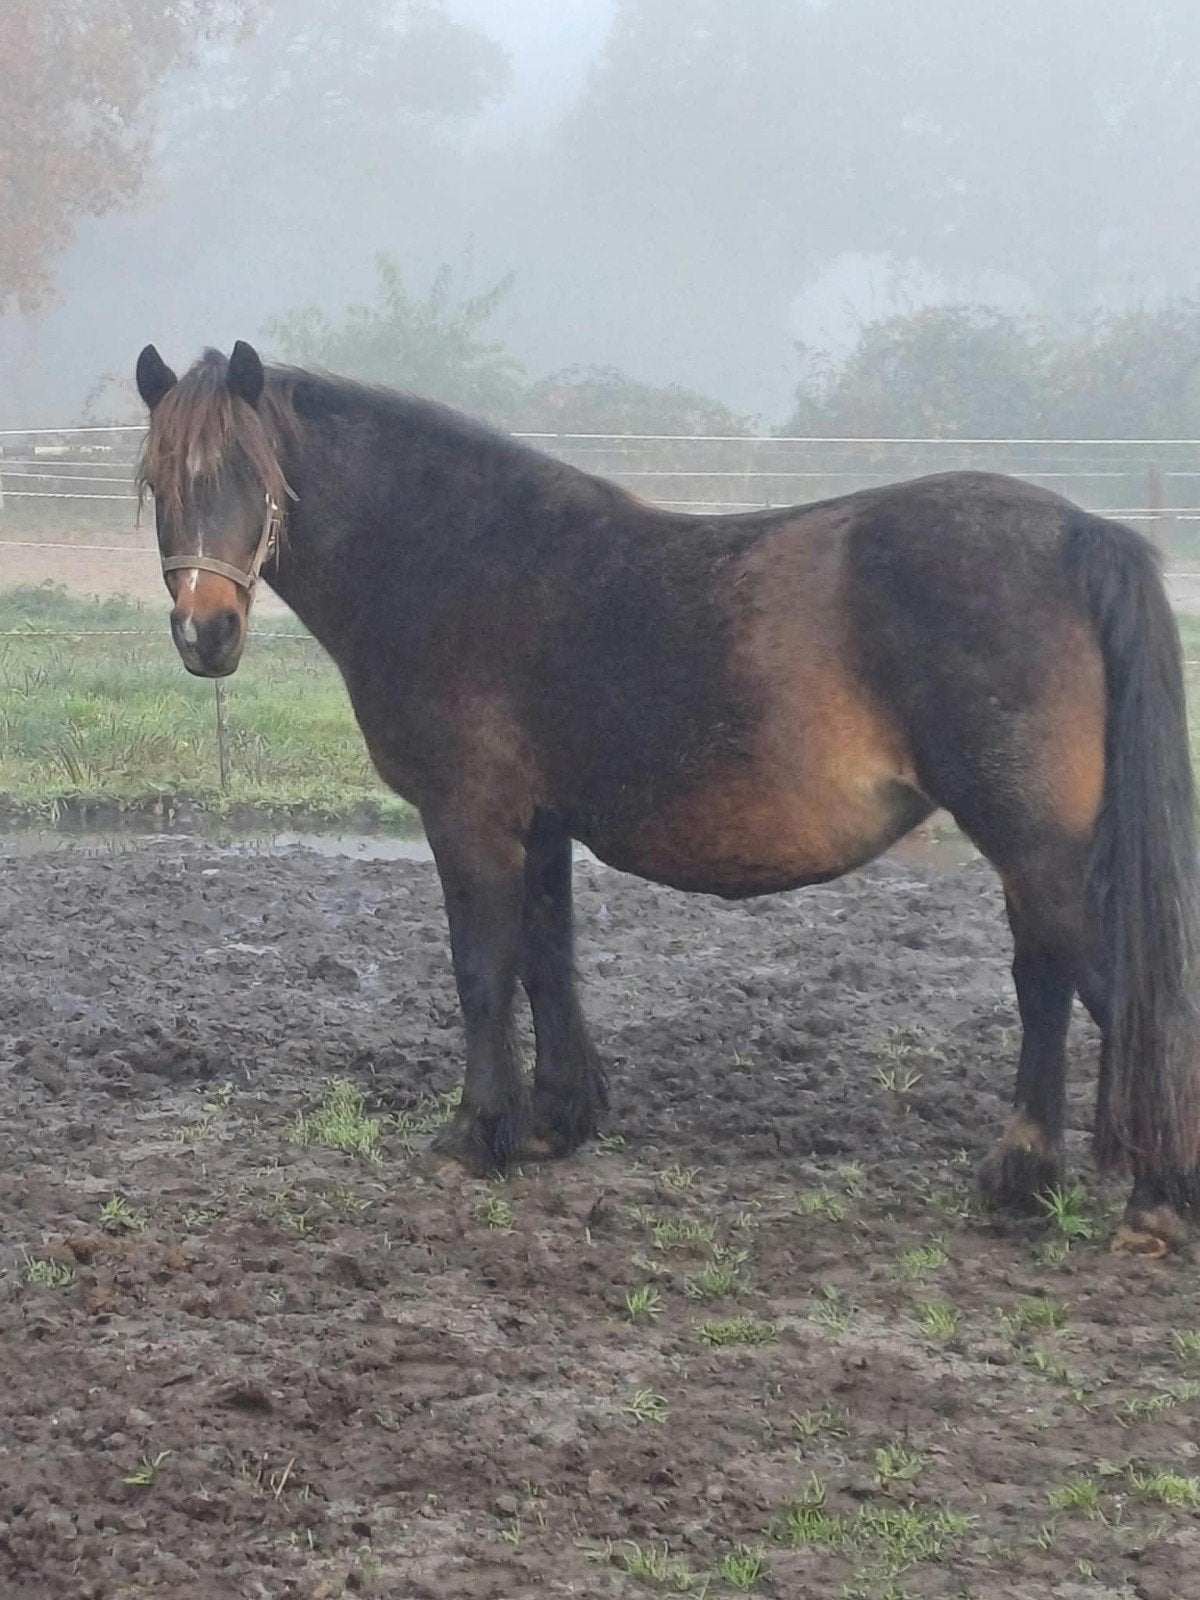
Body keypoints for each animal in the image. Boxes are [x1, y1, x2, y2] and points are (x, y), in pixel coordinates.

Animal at [134, 340, 1200, 1256]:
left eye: (253, 476)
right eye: (157, 480)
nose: (205, 632)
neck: (457, 556)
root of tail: (1080, 534)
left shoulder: (470, 819)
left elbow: (483, 970)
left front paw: (474, 1134)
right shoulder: (541, 825)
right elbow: (547, 961)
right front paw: (554, 1124)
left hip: (1036, 844)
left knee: (1095, 987)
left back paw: (1133, 1196)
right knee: (1060, 982)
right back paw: (1047, 1180)